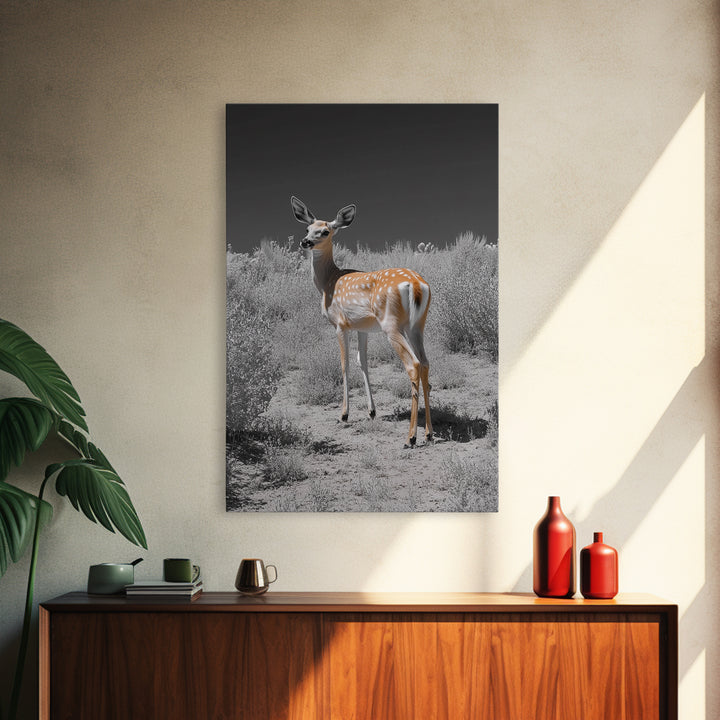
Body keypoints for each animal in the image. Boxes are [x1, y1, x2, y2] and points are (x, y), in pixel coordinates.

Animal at [291, 196, 433, 448]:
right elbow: (363, 362)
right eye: (307, 228)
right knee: (425, 363)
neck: (327, 282)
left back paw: (411, 437)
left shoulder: (340, 324)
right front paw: (371, 411)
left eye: (325, 231)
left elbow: (345, 364)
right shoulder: (362, 328)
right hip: (417, 326)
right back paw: (428, 433)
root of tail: (417, 285)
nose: (305, 242)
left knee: (413, 364)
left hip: (391, 325)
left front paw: (344, 414)